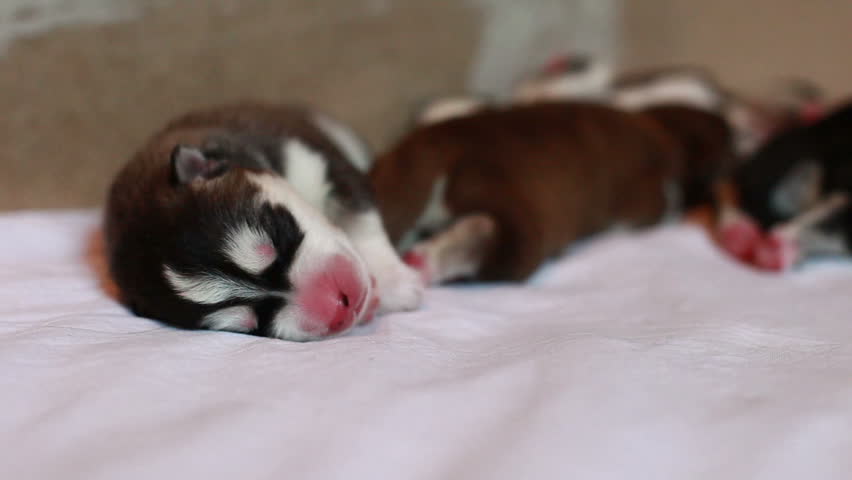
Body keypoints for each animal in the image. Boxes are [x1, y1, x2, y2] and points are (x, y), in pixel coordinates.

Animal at [105, 101, 424, 342]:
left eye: (276, 233)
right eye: (254, 323)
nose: (341, 305)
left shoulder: (323, 163)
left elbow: (361, 219)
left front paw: (394, 283)